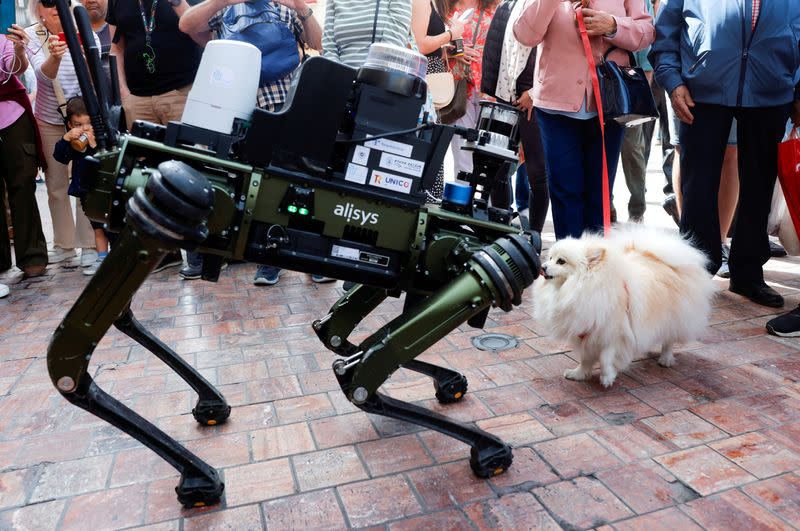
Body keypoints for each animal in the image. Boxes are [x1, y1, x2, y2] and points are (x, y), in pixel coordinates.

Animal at [536, 227, 716, 388]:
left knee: (669, 340)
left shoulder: (614, 333)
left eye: (561, 261)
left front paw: (607, 377)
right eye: (550, 257)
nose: (542, 267)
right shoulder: (587, 332)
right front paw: (579, 374)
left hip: (674, 317)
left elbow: (605, 358)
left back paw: (666, 359)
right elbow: (585, 359)